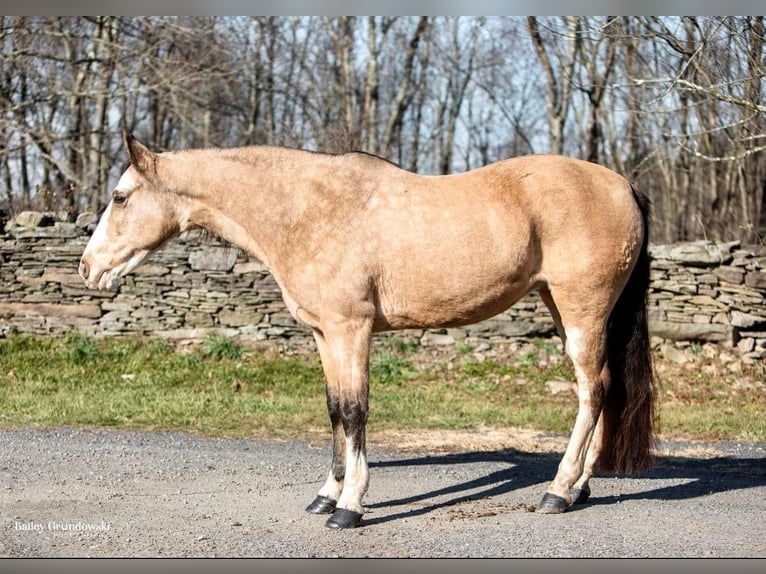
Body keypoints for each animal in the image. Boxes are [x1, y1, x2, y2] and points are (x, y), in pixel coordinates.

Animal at [79, 134, 660, 532]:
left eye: (120, 197)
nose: (88, 267)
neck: (305, 210)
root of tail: (622, 185)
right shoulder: (324, 335)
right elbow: (335, 410)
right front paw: (325, 494)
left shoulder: (351, 330)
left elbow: (356, 412)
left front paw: (350, 506)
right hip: (563, 309)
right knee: (602, 389)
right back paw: (580, 487)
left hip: (582, 310)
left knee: (592, 392)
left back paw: (558, 491)